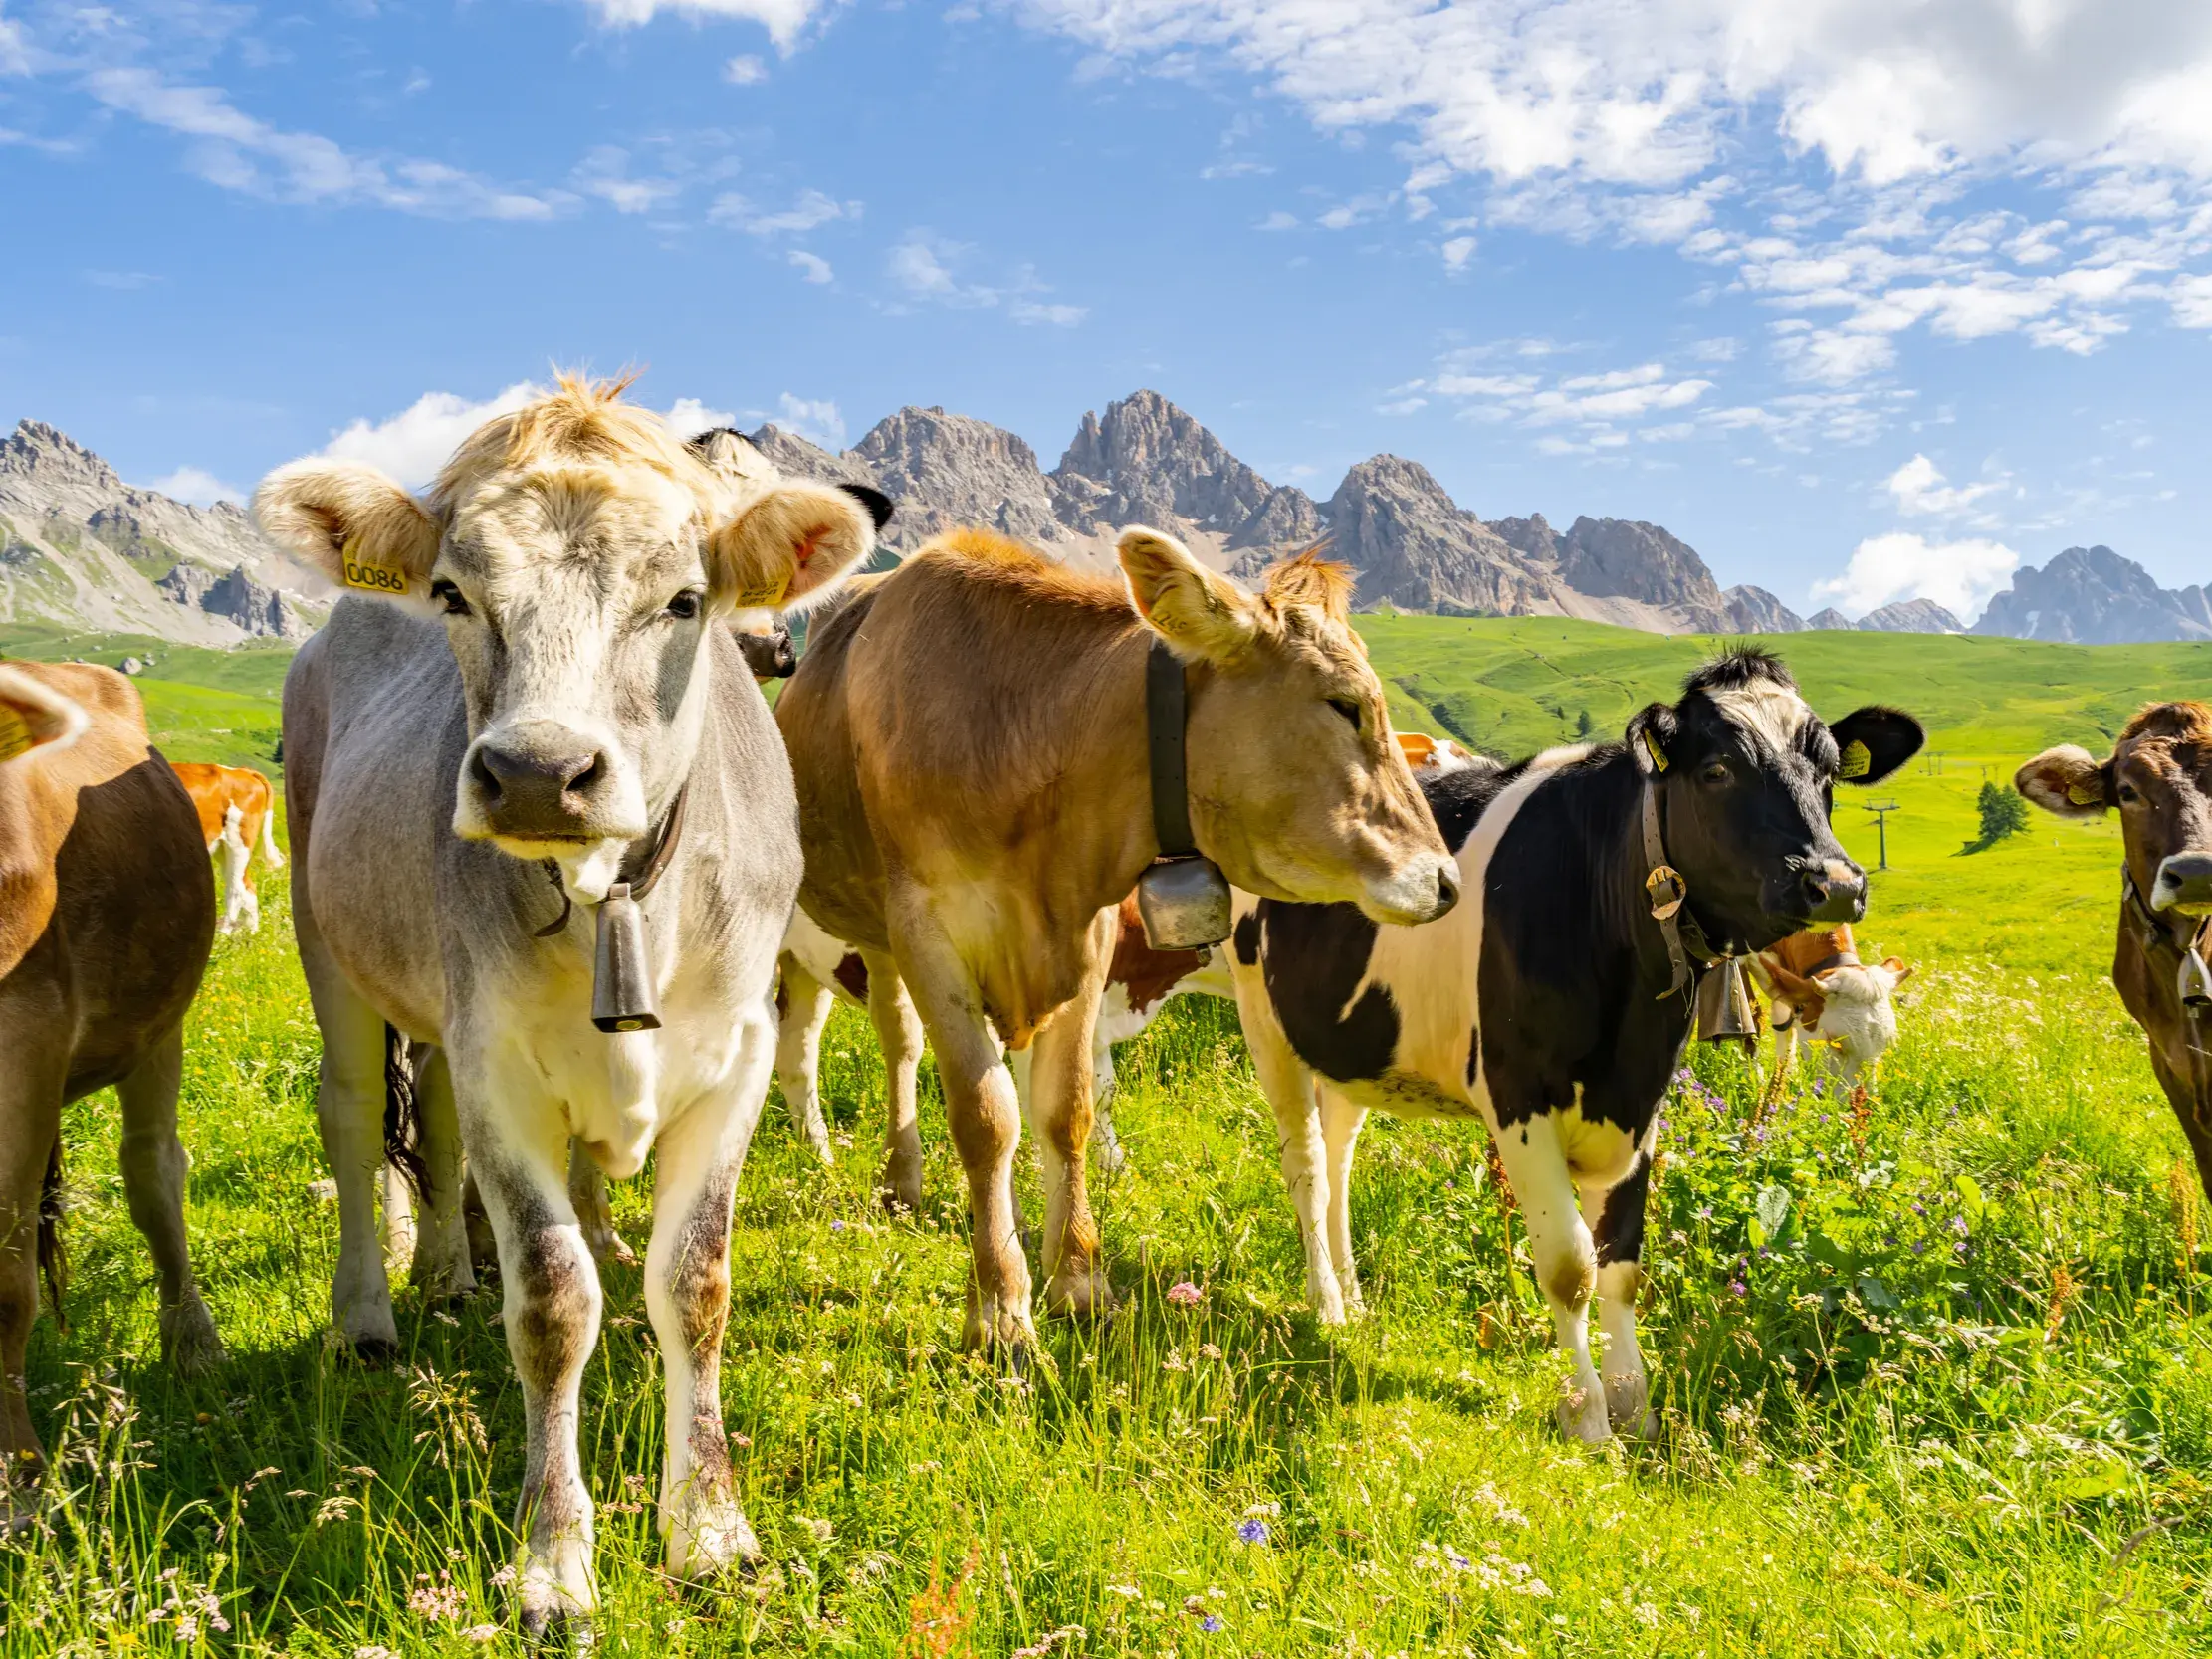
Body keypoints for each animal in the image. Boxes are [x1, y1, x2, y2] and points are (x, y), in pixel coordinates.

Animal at [1, 662, 225, 1521]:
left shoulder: (22, 1044)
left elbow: (8, 1288)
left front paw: (19, 1481)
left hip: (159, 1030)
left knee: (155, 1173)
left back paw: (194, 1343)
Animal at [172, 761, 285, 935]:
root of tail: (241, 771)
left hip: (238, 843)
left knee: (237, 888)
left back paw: (226, 933)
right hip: (221, 847)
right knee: (247, 887)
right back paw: (250, 933)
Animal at [254, 376, 876, 1632]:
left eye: (684, 598)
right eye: (454, 591)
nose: (538, 773)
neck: (615, 900)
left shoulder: (736, 1057)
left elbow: (693, 1281)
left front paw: (710, 1529)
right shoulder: (504, 1070)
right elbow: (551, 1300)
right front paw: (554, 1560)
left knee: (432, 1125)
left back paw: (447, 1272)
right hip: (324, 939)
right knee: (353, 1117)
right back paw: (370, 1314)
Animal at [779, 527, 1458, 1354]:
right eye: (1346, 704)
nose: (1447, 879)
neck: (1018, 728)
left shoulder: (1086, 935)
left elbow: (1065, 1108)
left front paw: (1077, 1277)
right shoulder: (928, 930)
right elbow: (986, 1116)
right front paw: (1000, 1306)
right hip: (851, 931)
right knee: (870, 1044)